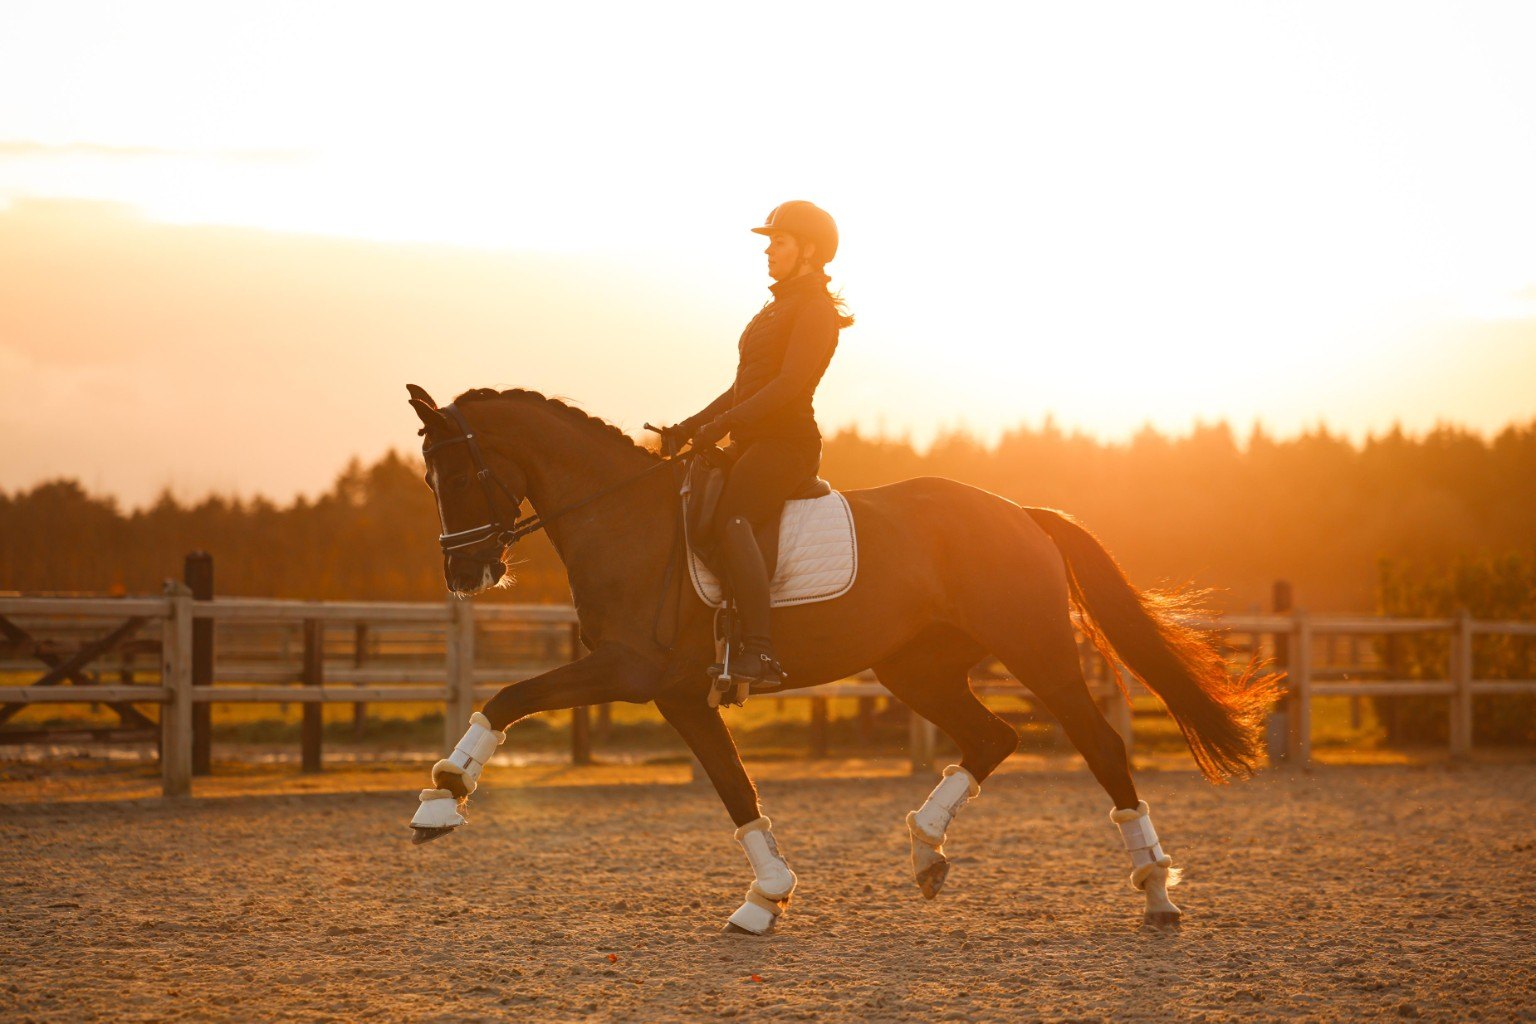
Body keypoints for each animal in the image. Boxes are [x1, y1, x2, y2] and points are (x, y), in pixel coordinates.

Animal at [404, 384, 1279, 934]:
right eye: (428, 478)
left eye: (458, 472)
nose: (464, 573)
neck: (626, 517)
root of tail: (1021, 513)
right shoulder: (680, 694)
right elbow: (735, 789)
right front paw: (765, 899)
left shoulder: (631, 670)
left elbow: (507, 698)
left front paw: (442, 799)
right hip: (914, 668)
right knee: (993, 737)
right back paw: (927, 850)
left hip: (1037, 654)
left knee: (1098, 746)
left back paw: (1156, 893)